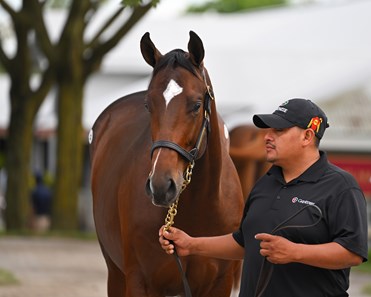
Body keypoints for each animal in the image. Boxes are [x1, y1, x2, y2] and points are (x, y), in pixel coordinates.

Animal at [91, 31, 244, 294]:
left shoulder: (220, 284)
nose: (161, 186)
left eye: (196, 105)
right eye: (148, 105)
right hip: (116, 273)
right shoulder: (140, 282)